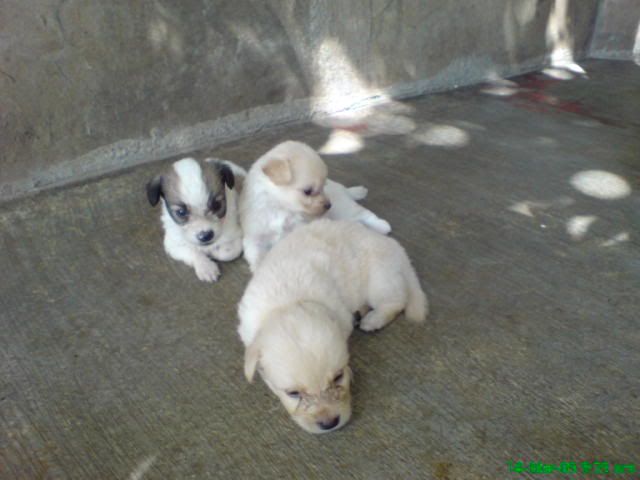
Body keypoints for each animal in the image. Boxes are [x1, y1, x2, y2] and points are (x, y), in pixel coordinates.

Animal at [238, 219, 428, 434]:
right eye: (293, 393)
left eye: (338, 377)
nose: (329, 424)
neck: (287, 302)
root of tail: (396, 248)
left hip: (380, 279)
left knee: (396, 301)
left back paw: (373, 320)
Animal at [240, 141, 390, 272]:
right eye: (308, 191)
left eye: (324, 186)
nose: (329, 205)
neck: (281, 208)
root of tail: (344, 189)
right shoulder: (254, 238)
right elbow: (257, 256)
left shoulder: (300, 228)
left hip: (344, 210)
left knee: (365, 214)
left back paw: (382, 226)